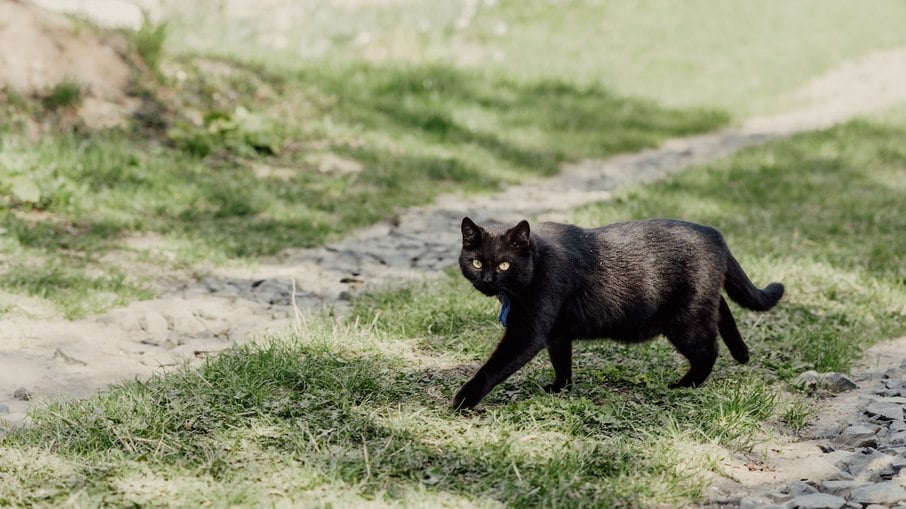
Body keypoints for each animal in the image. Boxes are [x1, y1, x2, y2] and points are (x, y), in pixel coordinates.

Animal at [456, 217, 780, 408]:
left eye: (504, 265)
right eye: (476, 263)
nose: (487, 280)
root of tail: (714, 233)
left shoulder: (528, 332)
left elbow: (495, 366)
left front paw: (464, 397)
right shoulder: (557, 331)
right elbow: (562, 360)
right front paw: (561, 388)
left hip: (686, 321)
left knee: (708, 351)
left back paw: (685, 385)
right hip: (700, 305)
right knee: (722, 308)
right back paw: (742, 352)